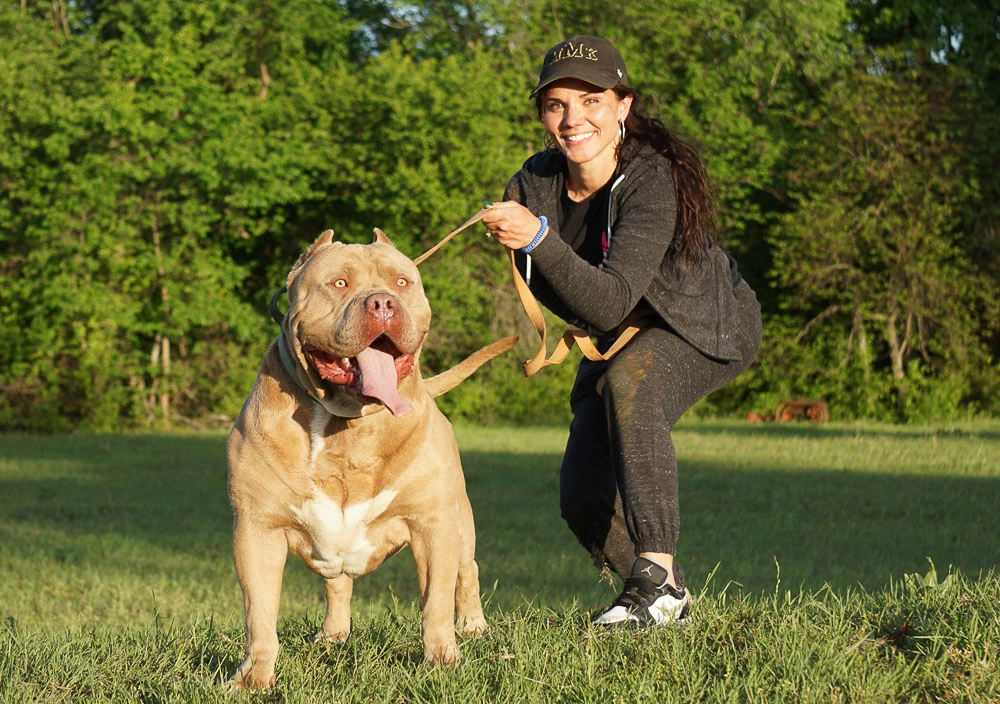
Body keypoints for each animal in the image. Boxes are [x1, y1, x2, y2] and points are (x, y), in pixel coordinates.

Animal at [228, 230, 516, 688]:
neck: (348, 423)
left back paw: (474, 628)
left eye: (402, 282)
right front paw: (254, 678)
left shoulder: (433, 525)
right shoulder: (257, 530)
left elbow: (436, 604)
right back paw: (333, 635)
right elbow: (259, 615)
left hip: (461, 523)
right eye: (339, 283)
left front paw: (443, 662)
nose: (382, 302)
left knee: (466, 573)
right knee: (338, 585)